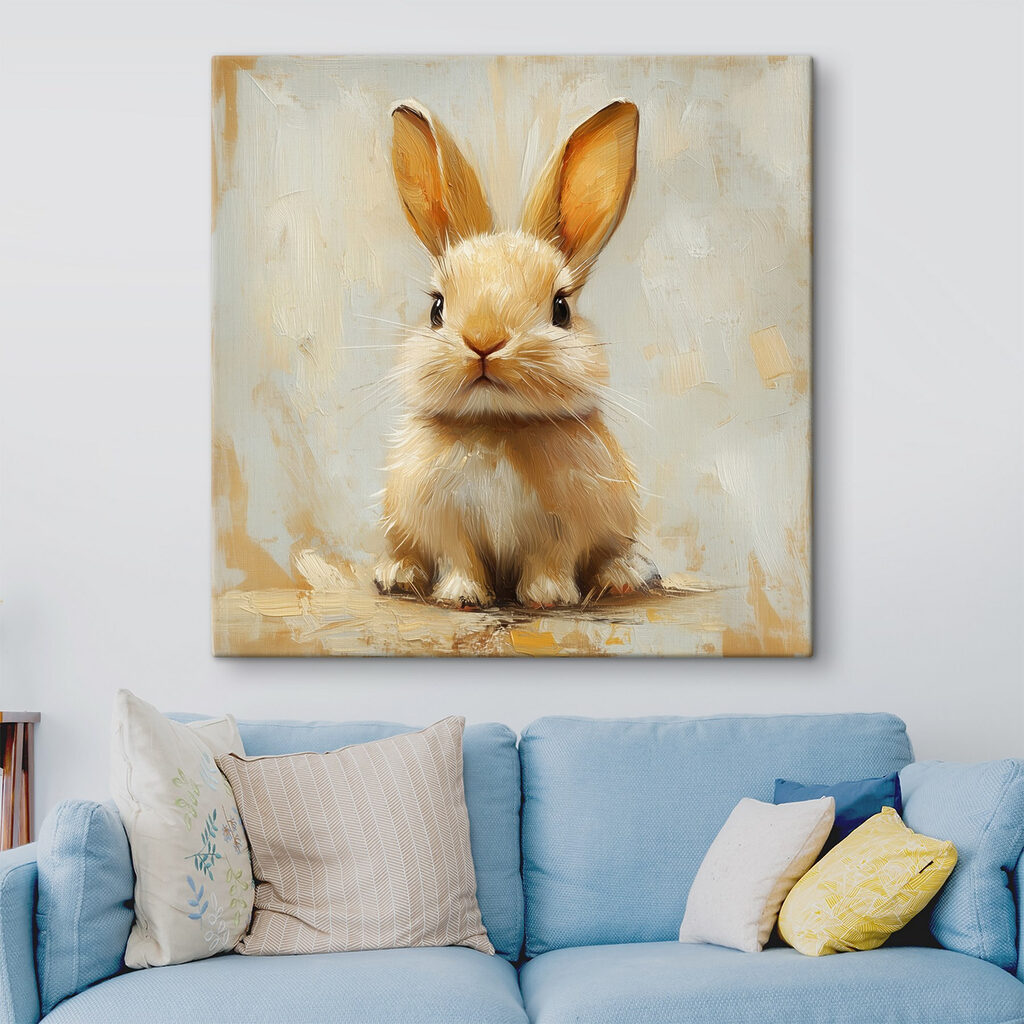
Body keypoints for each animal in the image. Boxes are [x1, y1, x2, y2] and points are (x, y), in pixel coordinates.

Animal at [374, 98, 647, 609]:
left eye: (561, 308)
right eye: (436, 307)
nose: (484, 341)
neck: (496, 424)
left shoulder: (564, 527)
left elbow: (550, 560)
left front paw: (549, 597)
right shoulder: (443, 523)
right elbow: (460, 558)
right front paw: (462, 596)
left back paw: (624, 577)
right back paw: (396, 575)